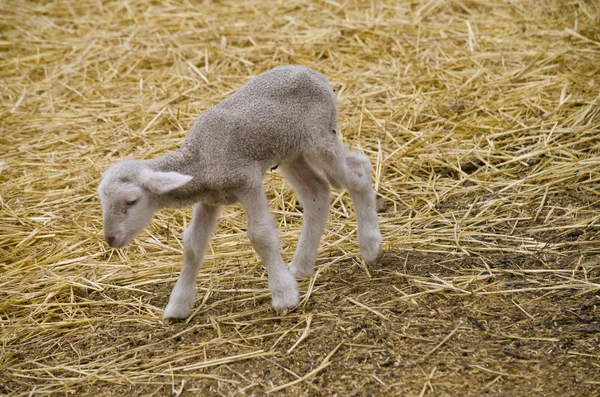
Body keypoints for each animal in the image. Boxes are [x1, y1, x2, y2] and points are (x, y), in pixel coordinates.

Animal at [96, 65, 382, 318]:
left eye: (131, 201)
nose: (110, 238)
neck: (201, 159)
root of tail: (312, 72)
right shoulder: (209, 199)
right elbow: (192, 245)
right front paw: (178, 306)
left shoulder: (247, 181)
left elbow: (261, 235)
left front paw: (284, 296)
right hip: (291, 152)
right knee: (317, 193)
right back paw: (301, 266)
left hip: (320, 136)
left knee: (358, 173)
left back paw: (370, 247)